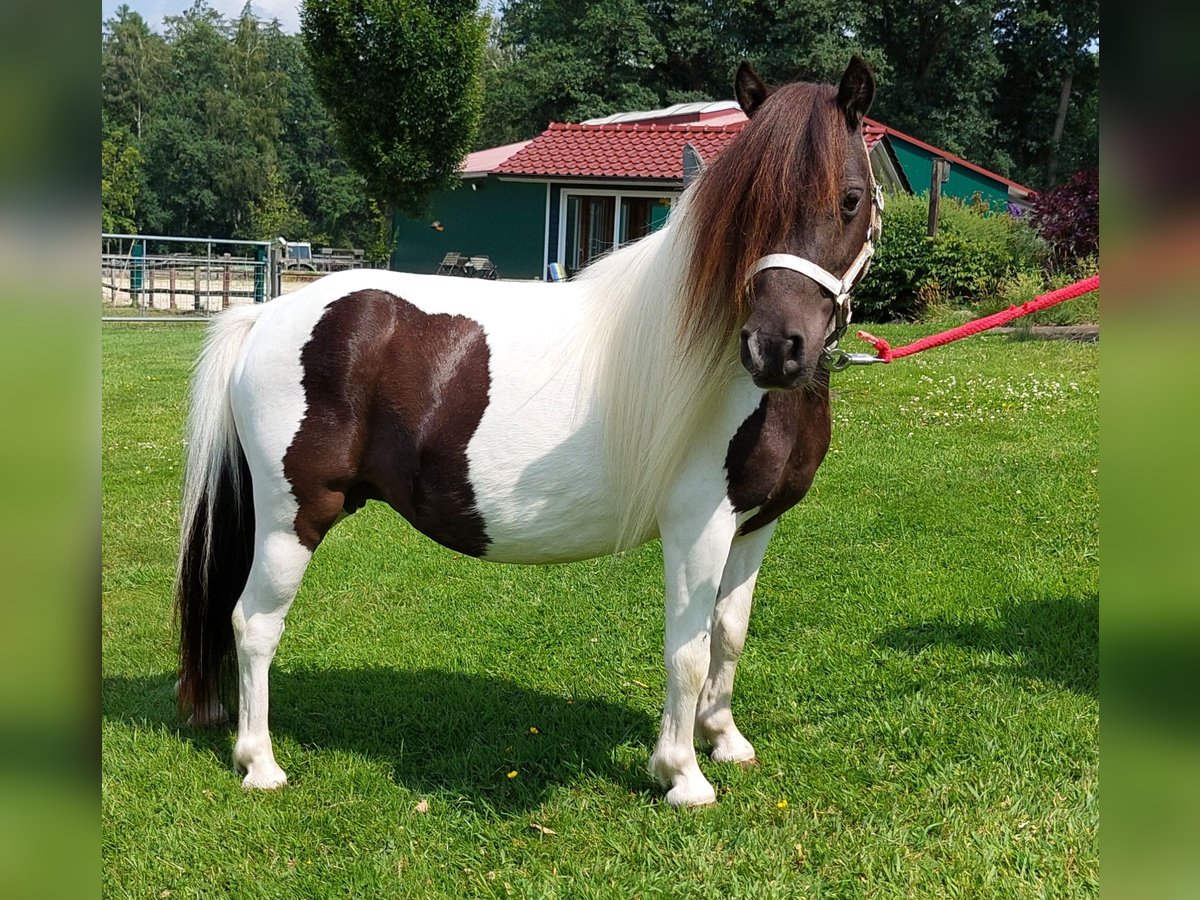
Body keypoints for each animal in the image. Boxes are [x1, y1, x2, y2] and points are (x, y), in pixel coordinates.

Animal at [174, 56, 883, 806]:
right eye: (748, 211)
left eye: (850, 200)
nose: (776, 349)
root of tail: (268, 315)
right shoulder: (700, 525)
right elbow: (687, 649)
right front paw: (682, 773)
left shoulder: (755, 525)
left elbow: (729, 633)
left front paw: (724, 740)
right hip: (294, 516)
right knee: (254, 625)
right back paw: (259, 763)